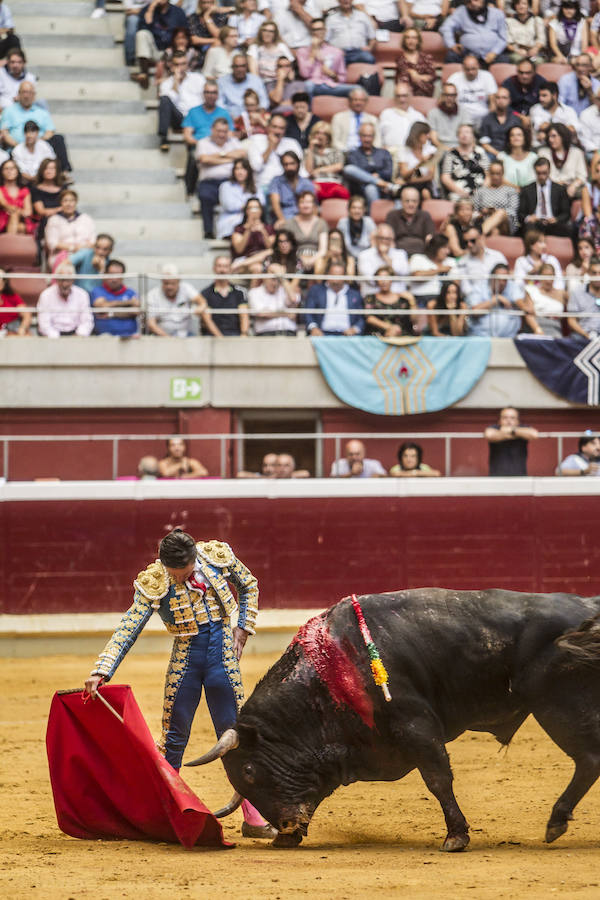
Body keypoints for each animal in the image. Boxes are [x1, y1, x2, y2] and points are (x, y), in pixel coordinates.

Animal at [186, 592, 600, 852]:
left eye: (249, 771)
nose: (285, 828)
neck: (331, 670)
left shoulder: (416, 726)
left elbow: (438, 779)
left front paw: (455, 837)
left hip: (557, 704)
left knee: (589, 759)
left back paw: (556, 822)